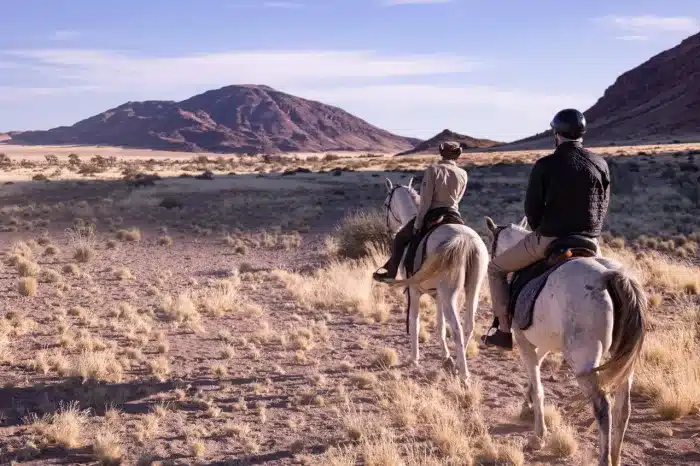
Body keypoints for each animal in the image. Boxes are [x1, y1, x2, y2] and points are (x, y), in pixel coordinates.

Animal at [380, 178, 490, 382]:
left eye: (385, 204)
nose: (389, 229)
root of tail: (463, 239)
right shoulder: (438, 295)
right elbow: (440, 326)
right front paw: (446, 357)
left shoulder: (414, 291)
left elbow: (415, 322)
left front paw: (414, 358)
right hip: (472, 290)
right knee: (468, 325)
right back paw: (458, 363)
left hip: (449, 294)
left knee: (457, 328)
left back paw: (464, 374)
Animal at [484, 216, 648, 466]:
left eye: (491, 247)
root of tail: (609, 275)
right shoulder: (542, 343)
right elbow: (535, 375)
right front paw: (526, 407)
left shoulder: (524, 342)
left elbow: (539, 386)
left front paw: (538, 436)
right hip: (623, 360)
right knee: (623, 408)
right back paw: (616, 456)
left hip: (583, 362)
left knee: (603, 408)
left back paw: (604, 458)